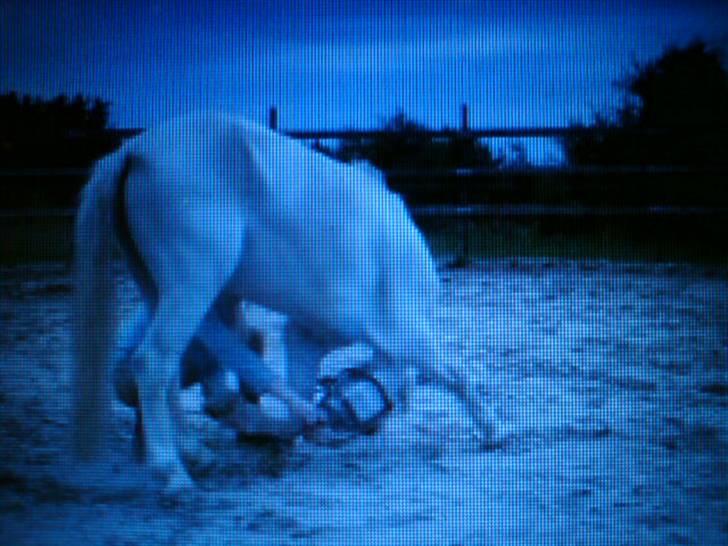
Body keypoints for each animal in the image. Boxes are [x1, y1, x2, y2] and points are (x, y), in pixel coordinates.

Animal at [72, 112, 493, 497]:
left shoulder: (305, 338)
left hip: (167, 289)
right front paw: (495, 432)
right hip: (192, 286)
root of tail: (133, 150)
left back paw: (196, 453)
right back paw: (174, 474)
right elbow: (458, 376)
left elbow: (296, 396)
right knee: (154, 363)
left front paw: (284, 428)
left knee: (177, 370)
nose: (365, 429)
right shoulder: (403, 332)